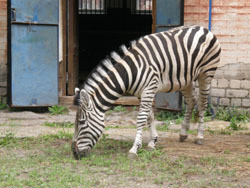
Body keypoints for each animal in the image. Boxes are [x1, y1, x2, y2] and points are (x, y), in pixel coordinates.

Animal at [71, 25, 221, 159]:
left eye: (82, 122)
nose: (74, 153)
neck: (130, 72)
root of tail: (203, 28)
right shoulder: (140, 93)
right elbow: (150, 117)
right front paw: (152, 142)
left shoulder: (149, 89)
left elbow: (141, 118)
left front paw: (134, 149)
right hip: (186, 80)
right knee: (191, 102)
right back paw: (183, 133)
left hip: (206, 74)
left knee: (202, 103)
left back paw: (199, 136)